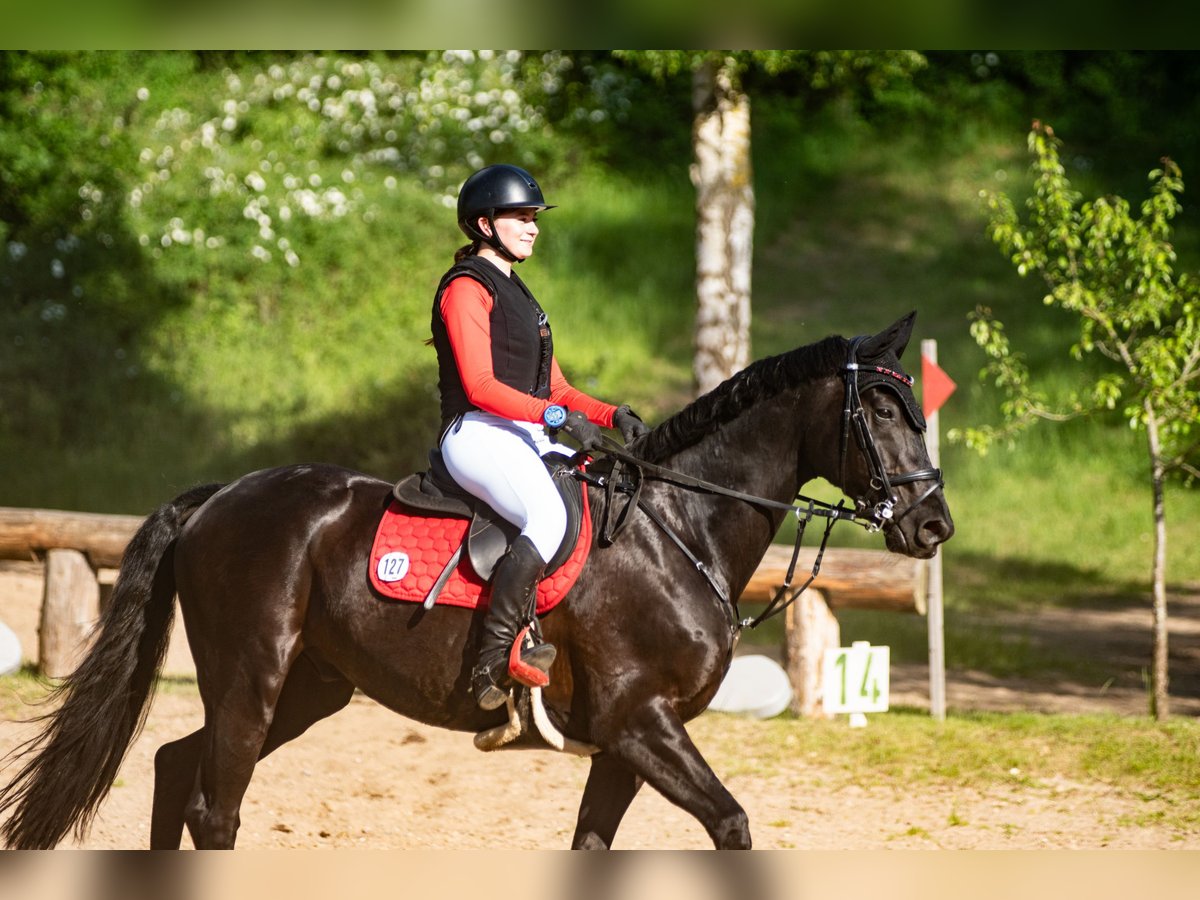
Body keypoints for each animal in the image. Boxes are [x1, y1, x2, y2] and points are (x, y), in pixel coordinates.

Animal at [2, 314, 955, 849]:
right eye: (880, 408)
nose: (933, 525)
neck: (680, 533)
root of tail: (219, 498)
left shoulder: (627, 741)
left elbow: (591, 848)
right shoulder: (637, 721)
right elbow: (731, 824)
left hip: (309, 688)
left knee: (172, 768)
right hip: (252, 675)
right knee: (214, 809)